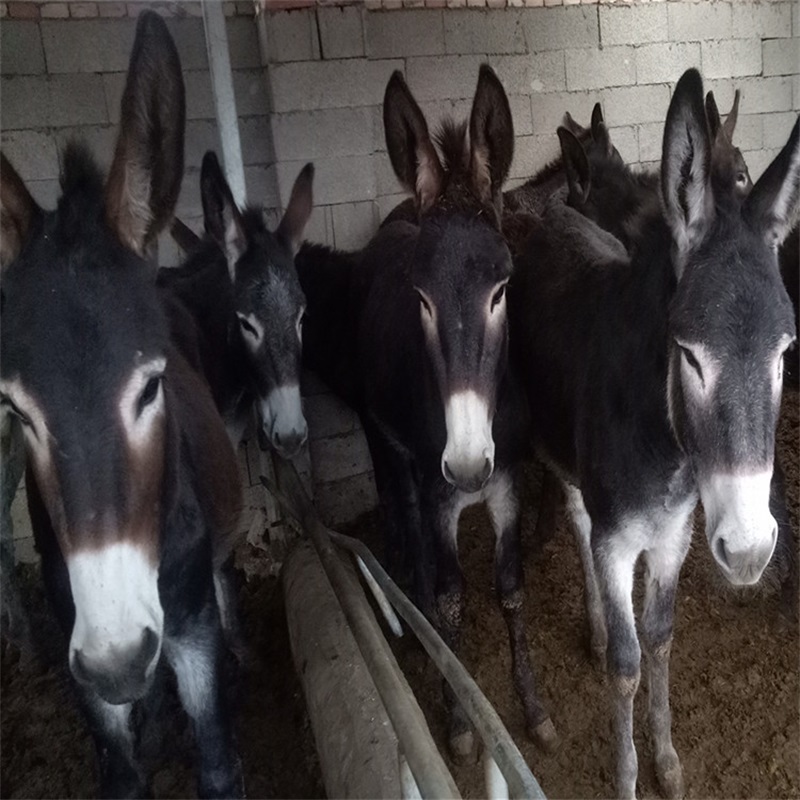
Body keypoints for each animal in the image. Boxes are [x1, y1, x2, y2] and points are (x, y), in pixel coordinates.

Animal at [0, 13, 244, 798]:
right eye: (17, 410)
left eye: (150, 386)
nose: (116, 662)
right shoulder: (87, 660)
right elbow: (121, 772)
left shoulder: (190, 631)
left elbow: (218, 764)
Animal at [296, 65, 557, 758]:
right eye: (420, 298)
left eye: (502, 287)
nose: (464, 464)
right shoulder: (443, 494)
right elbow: (452, 598)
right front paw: (461, 719)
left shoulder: (507, 482)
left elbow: (512, 591)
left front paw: (533, 707)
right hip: (383, 438)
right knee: (400, 506)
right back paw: (405, 590)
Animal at [509, 68, 799, 799]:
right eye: (689, 355)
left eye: (785, 352)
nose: (750, 551)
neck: (665, 453)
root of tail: (555, 216)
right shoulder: (620, 544)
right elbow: (625, 663)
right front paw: (626, 776)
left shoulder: (674, 536)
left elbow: (661, 638)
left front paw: (666, 759)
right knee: (577, 521)